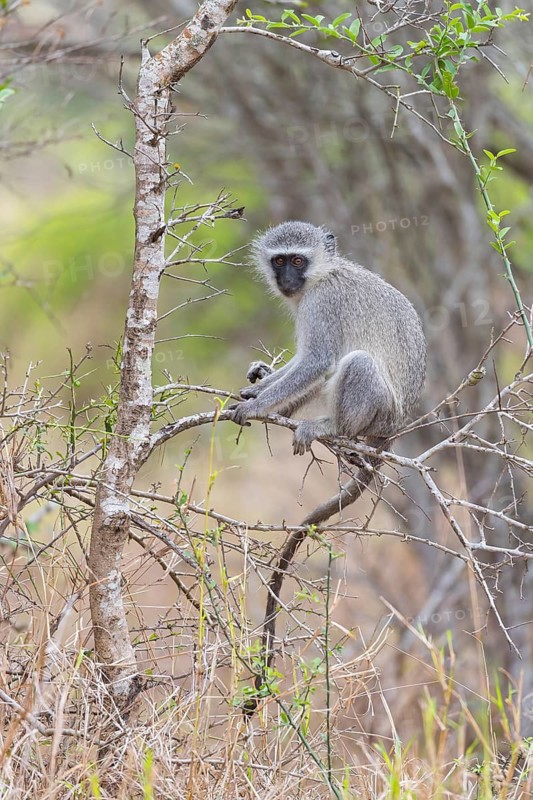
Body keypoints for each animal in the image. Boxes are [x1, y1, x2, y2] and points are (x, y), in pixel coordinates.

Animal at [230, 221, 426, 454]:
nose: (286, 279)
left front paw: (254, 406)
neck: (323, 274)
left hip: (382, 417)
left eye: (298, 261)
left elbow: (317, 361)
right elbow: (304, 359)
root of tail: (395, 428)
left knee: (359, 362)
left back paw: (334, 427)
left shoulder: (321, 301)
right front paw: (257, 389)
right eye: (279, 261)